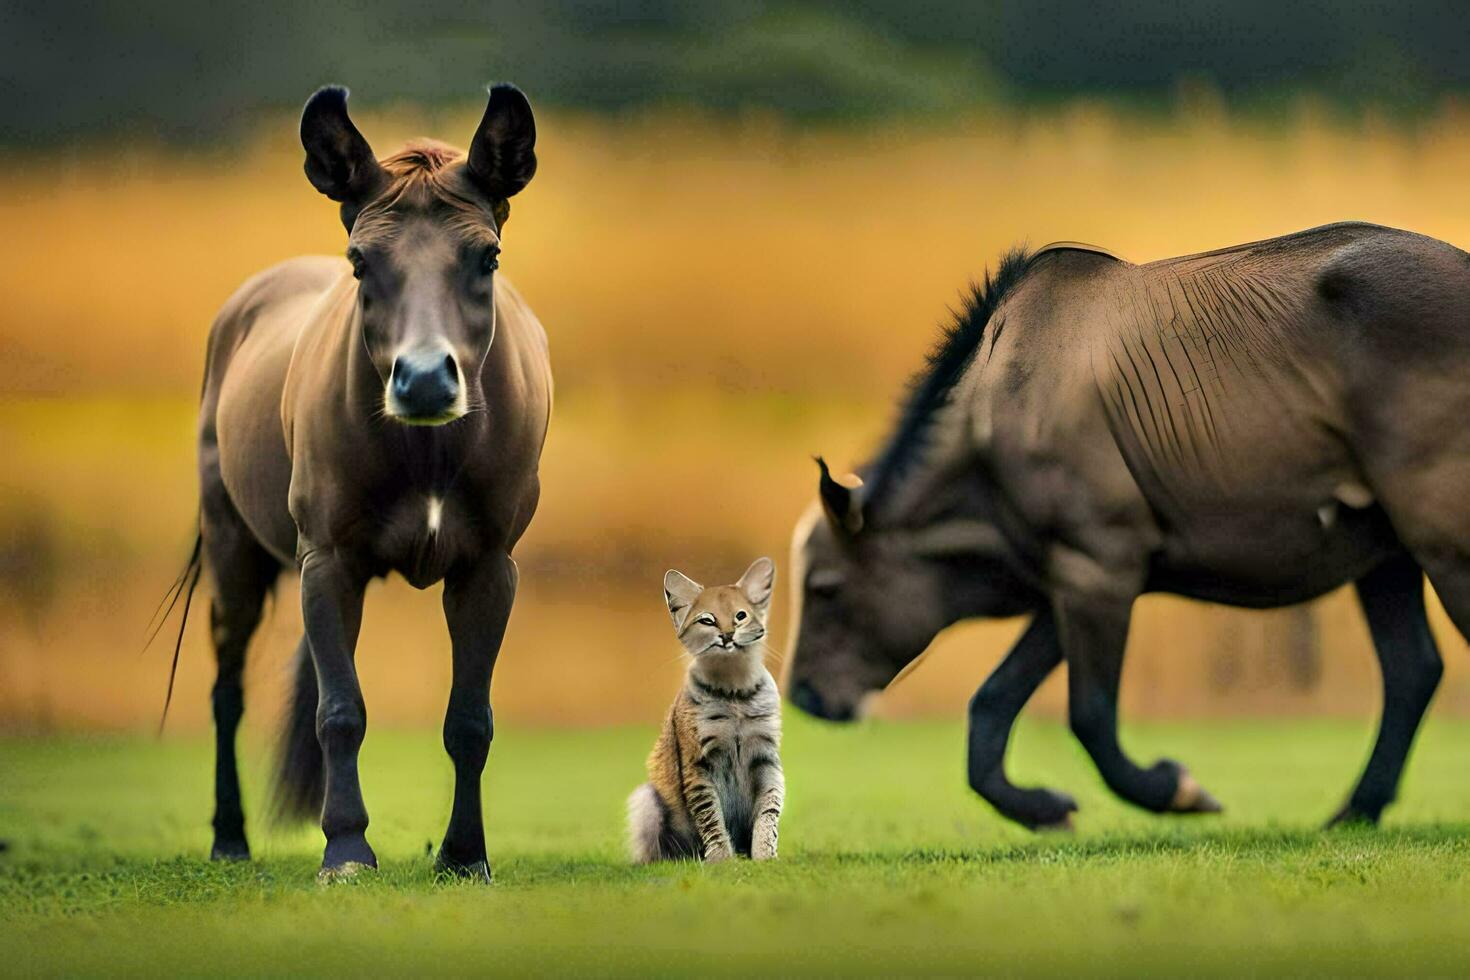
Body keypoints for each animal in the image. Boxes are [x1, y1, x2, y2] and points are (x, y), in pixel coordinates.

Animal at [173, 86, 552, 881]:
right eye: (359, 261)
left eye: (488, 255)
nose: (426, 379)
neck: (429, 451)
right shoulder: (328, 564)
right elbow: (339, 713)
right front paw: (346, 849)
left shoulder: (488, 569)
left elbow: (469, 720)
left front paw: (464, 855)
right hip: (231, 550)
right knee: (227, 690)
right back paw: (230, 838)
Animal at [632, 558, 793, 863]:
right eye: (707, 620)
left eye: (740, 616)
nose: (727, 635)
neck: (735, 694)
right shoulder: (699, 766)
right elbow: (711, 817)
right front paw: (721, 859)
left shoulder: (767, 759)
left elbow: (769, 813)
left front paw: (765, 856)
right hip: (645, 799)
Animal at [787, 226, 1464, 834]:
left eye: (825, 589)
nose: (802, 697)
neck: (994, 419)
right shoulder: (1071, 576)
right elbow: (990, 706)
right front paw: (1039, 808)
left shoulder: (1099, 570)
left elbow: (1088, 715)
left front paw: (1171, 791)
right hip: (1387, 557)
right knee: (1413, 669)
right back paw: (1358, 809)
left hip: (1443, 542)